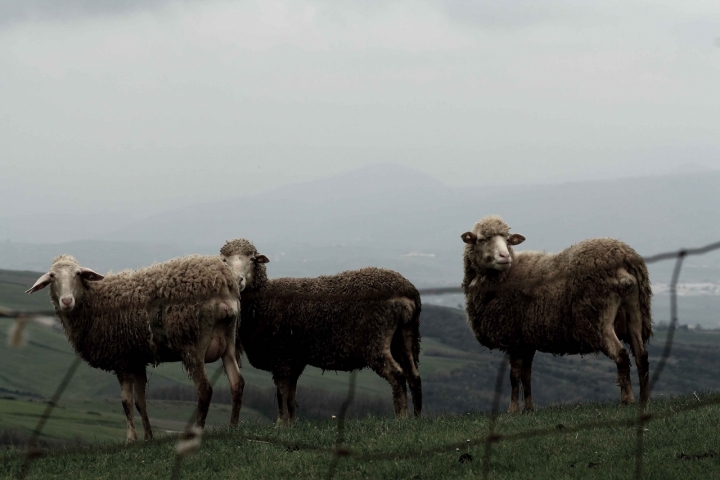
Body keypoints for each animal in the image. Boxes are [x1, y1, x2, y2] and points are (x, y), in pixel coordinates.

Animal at [26, 255, 245, 442]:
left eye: (78, 274)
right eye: (52, 276)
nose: (66, 301)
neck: (95, 301)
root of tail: (222, 279)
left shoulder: (122, 359)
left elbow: (126, 401)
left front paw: (131, 438)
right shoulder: (137, 359)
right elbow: (141, 402)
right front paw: (148, 437)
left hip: (192, 344)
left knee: (204, 389)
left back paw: (197, 432)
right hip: (229, 341)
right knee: (237, 383)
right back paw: (233, 426)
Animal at [219, 238, 422, 422]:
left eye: (252, 259)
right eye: (224, 261)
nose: (237, 280)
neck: (261, 302)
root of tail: (407, 290)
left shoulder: (281, 357)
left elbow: (282, 396)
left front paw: (280, 425)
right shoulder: (294, 360)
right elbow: (291, 398)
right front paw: (291, 426)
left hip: (375, 339)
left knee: (397, 375)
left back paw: (401, 419)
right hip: (405, 336)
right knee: (413, 375)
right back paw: (417, 418)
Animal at [462, 216, 652, 410]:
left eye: (507, 240)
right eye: (482, 239)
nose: (505, 256)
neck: (504, 276)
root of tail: (622, 257)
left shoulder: (514, 338)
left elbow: (514, 376)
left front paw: (512, 409)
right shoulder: (527, 340)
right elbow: (526, 375)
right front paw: (528, 409)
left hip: (597, 319)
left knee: (621, 355)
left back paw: (627, 399)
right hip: (636, 311)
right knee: (641, 356)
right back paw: (644, 400)